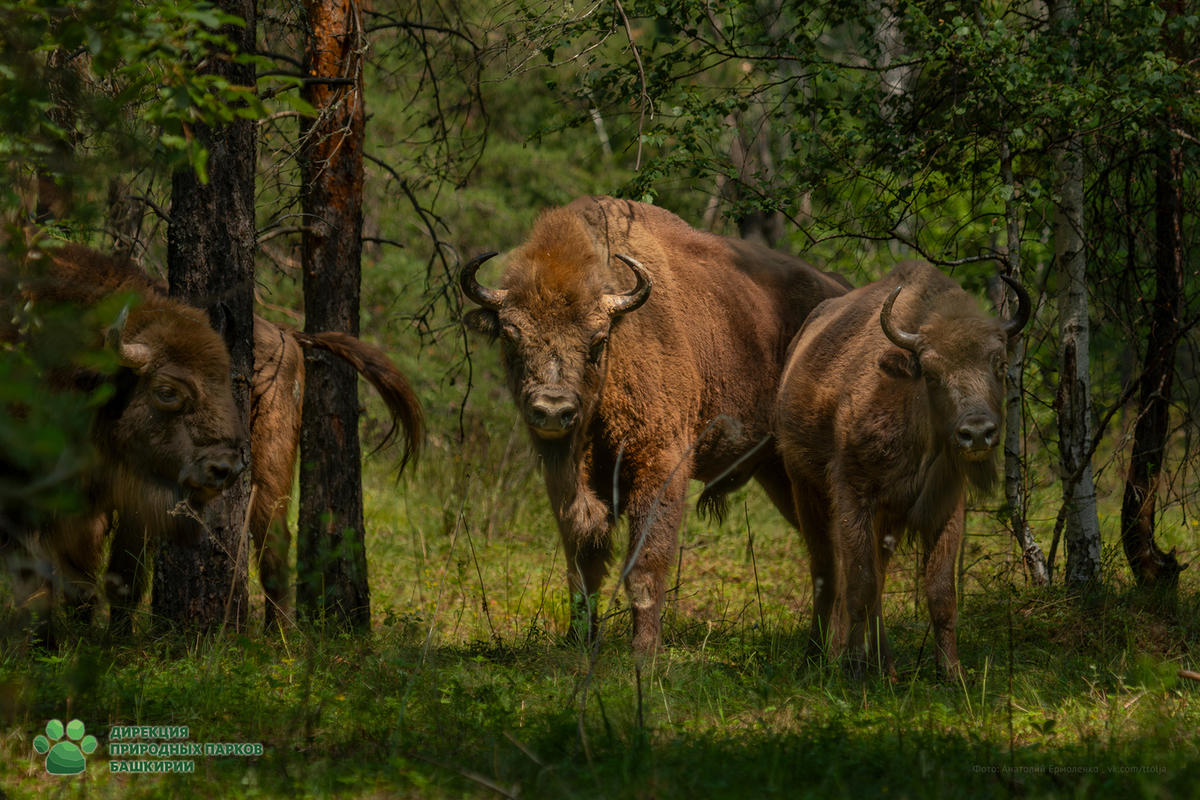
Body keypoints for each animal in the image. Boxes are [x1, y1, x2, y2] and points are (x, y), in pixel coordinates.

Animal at [2, 241, 424, 633]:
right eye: (167, 391)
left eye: (226, 381)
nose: (224, 467)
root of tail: (287, 333)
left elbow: (116, 576)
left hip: (271, 469)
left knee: (271, 544)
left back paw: (279, 638)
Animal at [463, 196, 849, 652]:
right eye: (510, 336)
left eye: (598, 340)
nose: (553, 409)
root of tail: (841, 293)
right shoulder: (570, 483)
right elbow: (583, 563)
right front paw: (580, 642)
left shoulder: (661, 465)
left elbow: (645, 564)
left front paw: (645, 651)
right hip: (776, 473)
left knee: (833, 551)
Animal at [777, 260, 1032, 681]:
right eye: (930, 372)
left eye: (999, 365)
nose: (977, 432)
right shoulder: (854, 495)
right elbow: (861, 586)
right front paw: (858, 672)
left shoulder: (945, 507)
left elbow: (940, 592)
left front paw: (952, 673)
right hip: (804, 489)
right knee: (826, 572)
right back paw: (818, 657)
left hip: (885, 519)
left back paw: (879, 665)